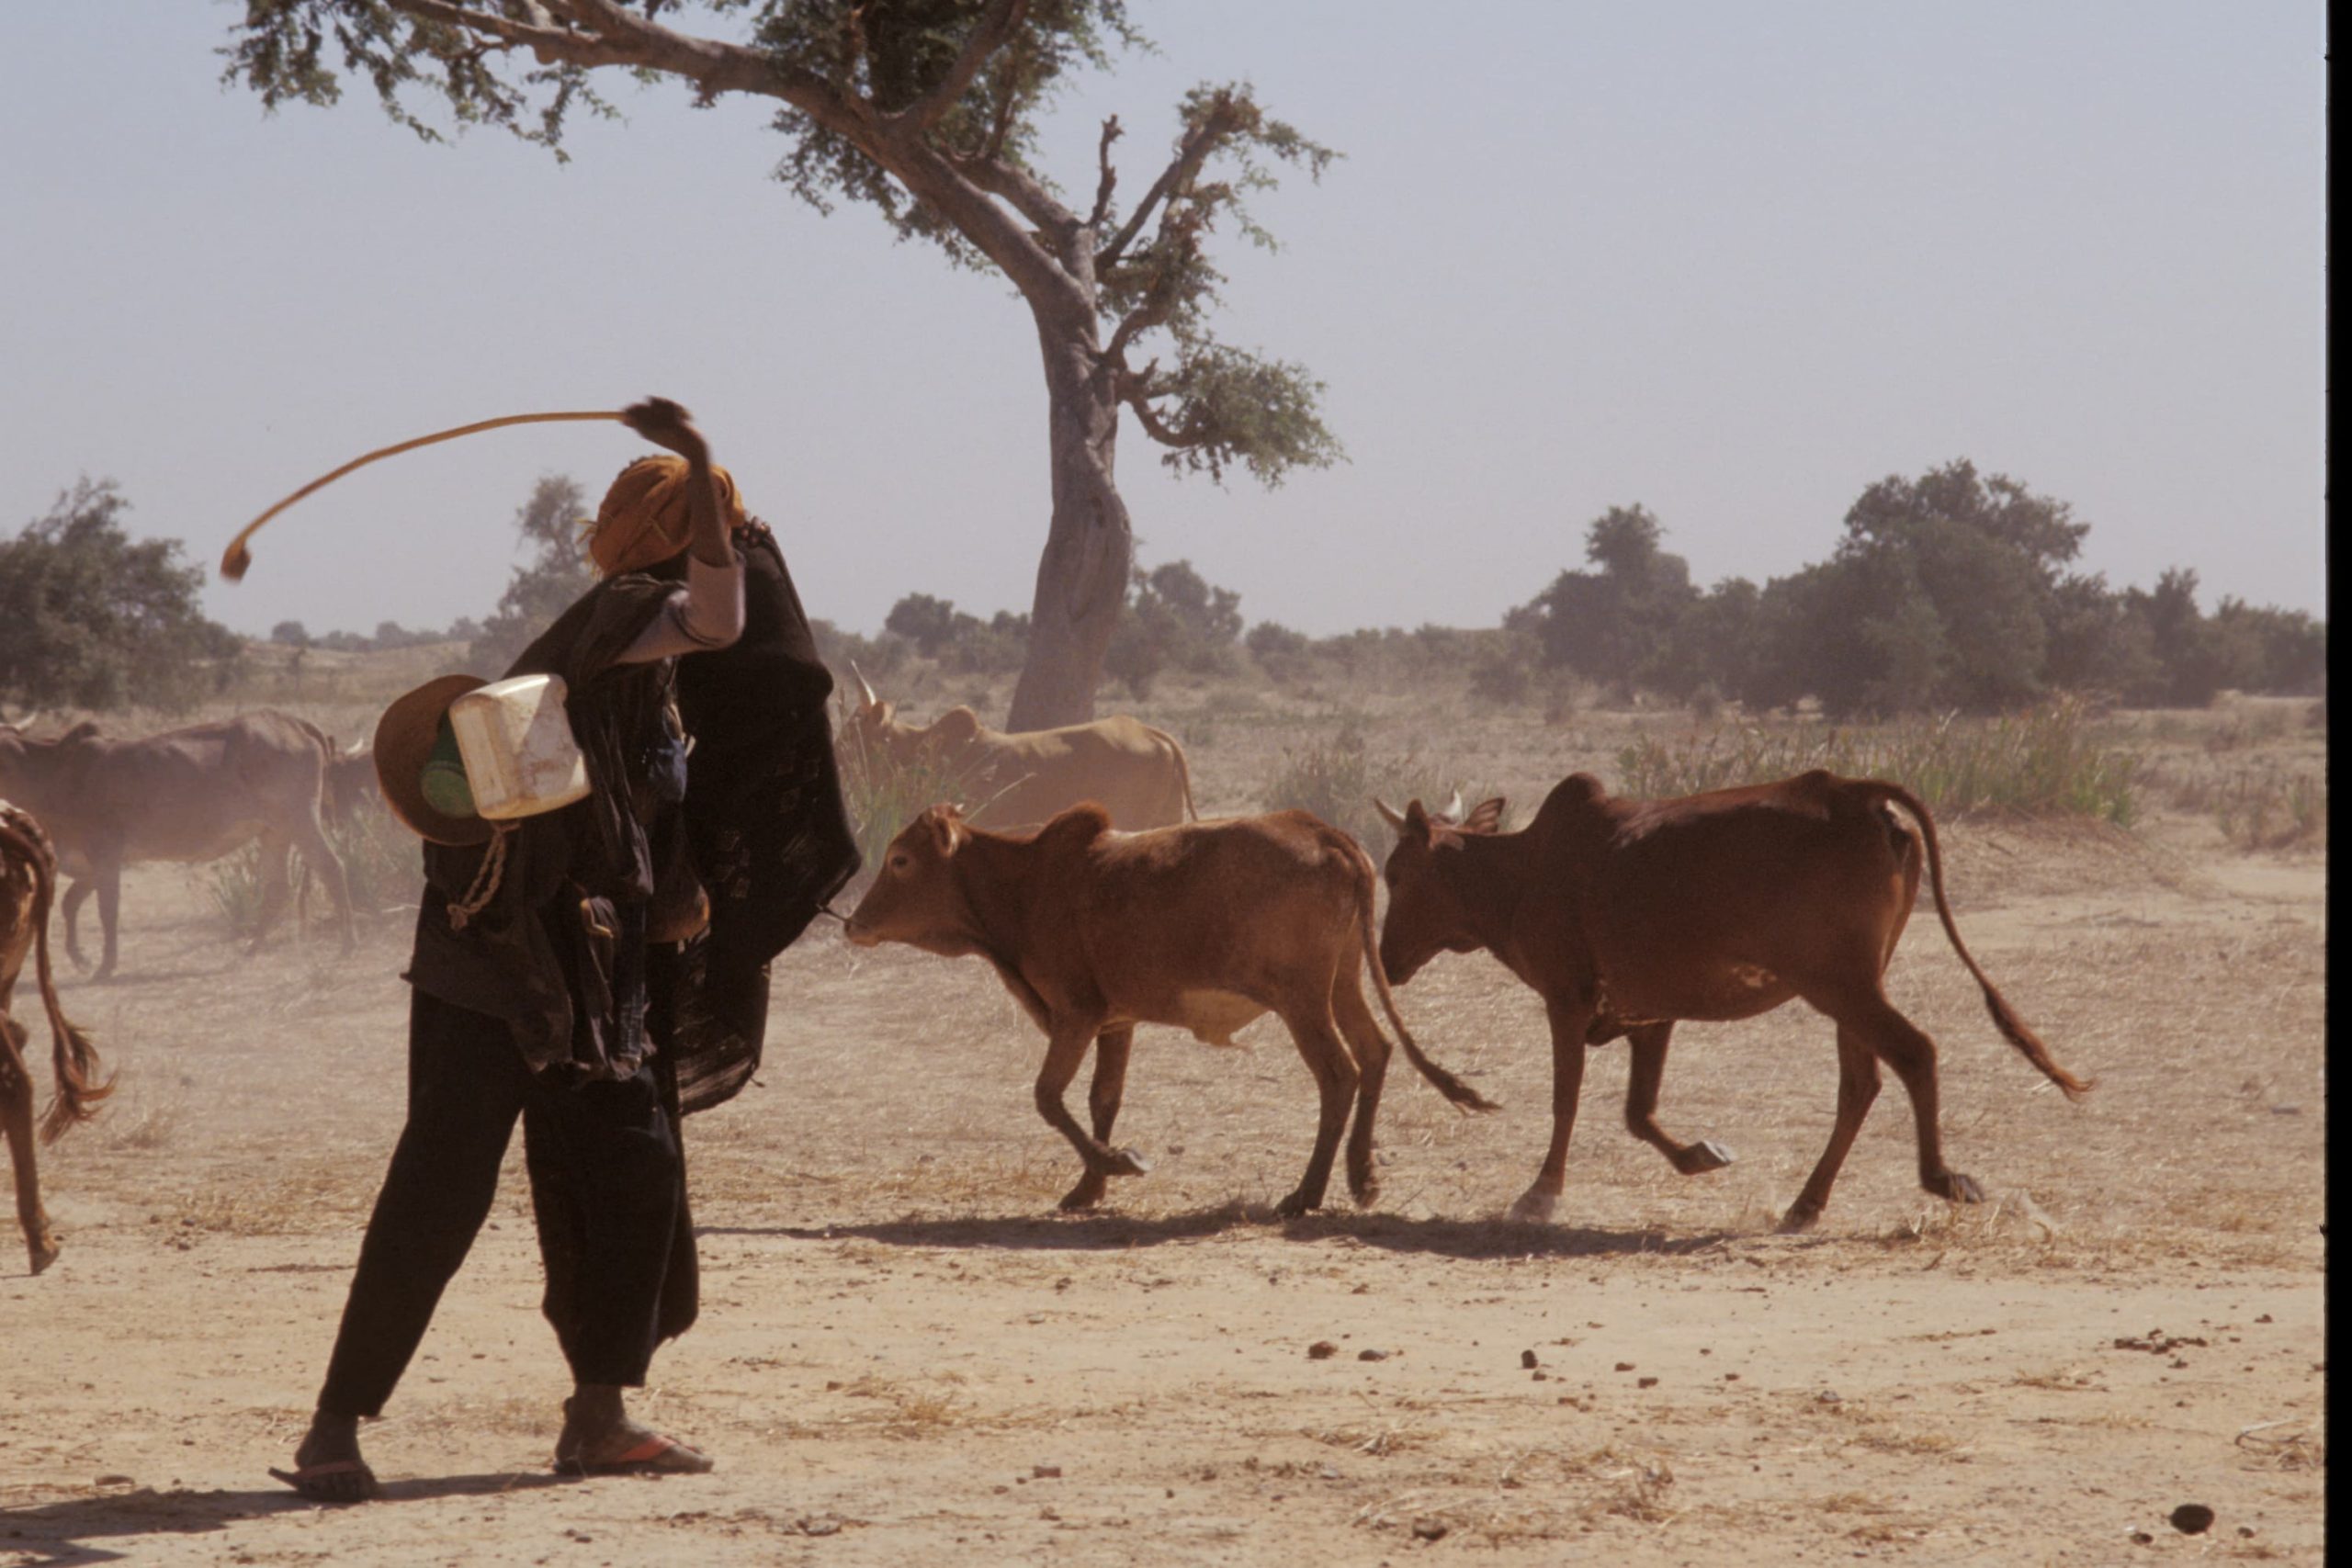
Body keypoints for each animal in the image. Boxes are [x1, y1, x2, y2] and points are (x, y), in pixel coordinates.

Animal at [0, 715, 353, 982]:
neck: (55, 777)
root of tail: (290, 721)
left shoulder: (106, 854)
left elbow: (106, 910)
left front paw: (104, 967)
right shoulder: (89, 865)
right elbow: (70, 904)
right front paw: (81, 958)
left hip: (300, 818)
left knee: (332, 868)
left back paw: (348, 944)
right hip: (273, 832)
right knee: (278, 888)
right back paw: (251, 949)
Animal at [846, 804, 1486, 1222]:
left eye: (900, 860)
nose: (853, 922)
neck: (1027, 885)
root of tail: (1325, 834)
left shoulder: (1076, 1014)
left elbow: (1049, 1097)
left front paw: (1119, 1164)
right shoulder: (1116, 1022)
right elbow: (1102, 1100)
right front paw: (1089, 1188)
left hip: (1302, 1000)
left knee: (1339, 1074)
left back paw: (1305, 1194)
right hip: (1343, 984)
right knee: (1375, 1052)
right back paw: (1361, 1177)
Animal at [1374, 771, 2088, 1241]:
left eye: (1395, 873)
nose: (1384, 958)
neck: (1523, 871)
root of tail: (1855, 792)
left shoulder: (1566, 999)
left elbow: (1567, 1100)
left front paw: (1540, 1196)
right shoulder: (1651, 1014)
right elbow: (1639, 1112)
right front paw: (1699, 1154)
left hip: (1842, 985)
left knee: (1914, 1053)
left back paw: (1940, 1177)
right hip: (1852, 988)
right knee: (1861, 1083)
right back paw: (1805, 1204)